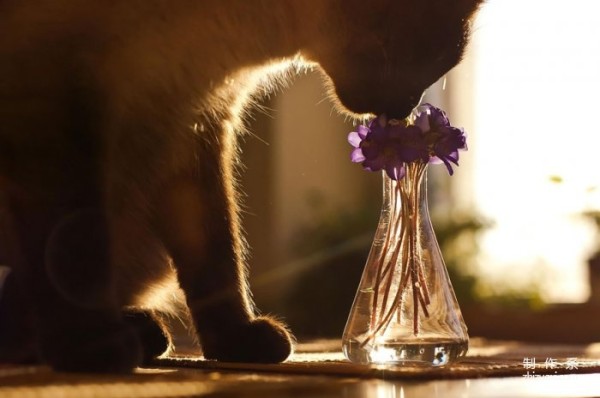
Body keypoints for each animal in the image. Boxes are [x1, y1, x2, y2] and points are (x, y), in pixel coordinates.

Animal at [0, 0, 480, 374]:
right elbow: (74, 250)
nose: (406, 108)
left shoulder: (191, 125)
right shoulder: (50, 97)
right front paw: (90, 350)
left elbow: (216, 256)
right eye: (435, 56)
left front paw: (235, 343)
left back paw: (142, 333)